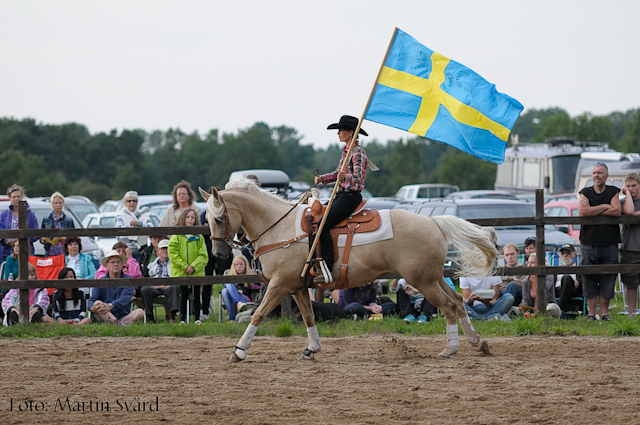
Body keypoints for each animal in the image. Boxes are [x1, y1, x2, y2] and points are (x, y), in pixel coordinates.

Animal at [199, 179, 496, 362]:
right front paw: (312, 349)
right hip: (434, 278)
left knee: (448, 306)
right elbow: (308, 317)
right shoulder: (296, 287)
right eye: (208, 218)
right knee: (457, 301)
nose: (220, 254)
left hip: (424, 281)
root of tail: (434, 221)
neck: (278, 227)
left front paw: (239, 351)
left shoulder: (279, 285)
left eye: (218, 218)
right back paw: (477, 341)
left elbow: (259, 314)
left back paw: (450, 348)